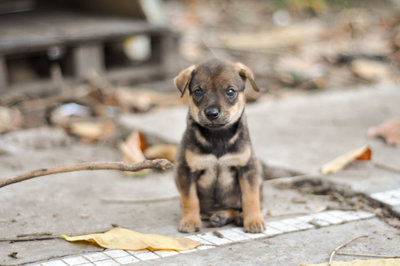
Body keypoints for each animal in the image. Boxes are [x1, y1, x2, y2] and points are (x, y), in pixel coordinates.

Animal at [173, 57, 264, 233]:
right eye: (198, 92)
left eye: (230, 91)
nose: (212, 113)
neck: (218, 136)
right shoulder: (186, 170)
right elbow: (190, 199)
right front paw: (190, 221)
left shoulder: (247, 168)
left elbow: (250, 197)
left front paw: (254, 221)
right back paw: (216, 216)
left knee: (242, 205)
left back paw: (233, 217)